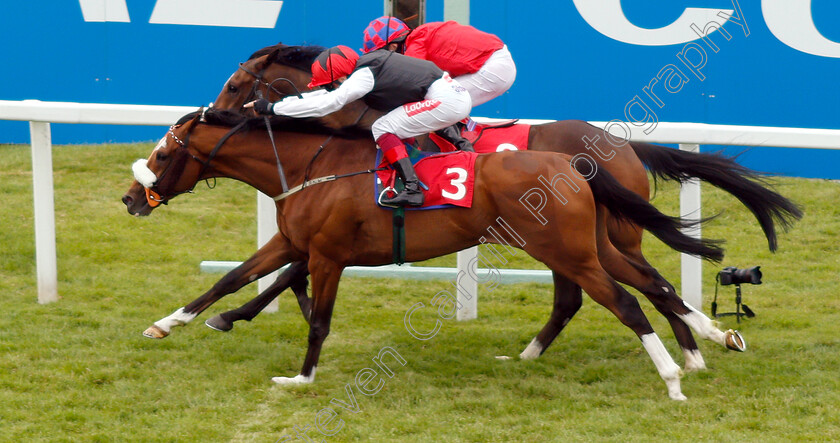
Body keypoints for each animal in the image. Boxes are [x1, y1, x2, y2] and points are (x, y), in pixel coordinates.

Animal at [121, 109, 732, 400]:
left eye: (163, 152)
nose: (130, 198)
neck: (311, 166)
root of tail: (573, 163)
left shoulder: (327, 255)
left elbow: (317, 319)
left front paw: (302, 378)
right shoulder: (292, 240)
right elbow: (228, 281)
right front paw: (166, 324)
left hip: (570, 251)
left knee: (626, 303)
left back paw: (674, 377)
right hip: (591, 245)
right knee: (652, 286)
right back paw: (707, 341)